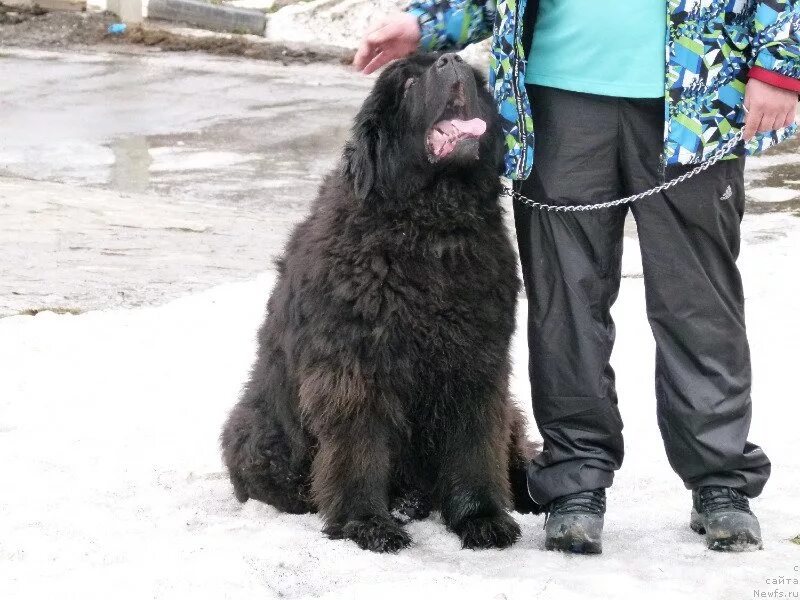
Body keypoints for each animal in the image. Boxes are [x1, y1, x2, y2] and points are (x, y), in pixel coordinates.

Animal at [220, 52, 536, 552]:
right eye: (407, 84)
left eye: (477, 80)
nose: (452, 58)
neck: (433, 230)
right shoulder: (354, 368)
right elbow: (359, 448)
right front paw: (366, 523)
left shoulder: (477, 363)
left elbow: (474, 446)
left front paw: (482, 517)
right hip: (253, 430)